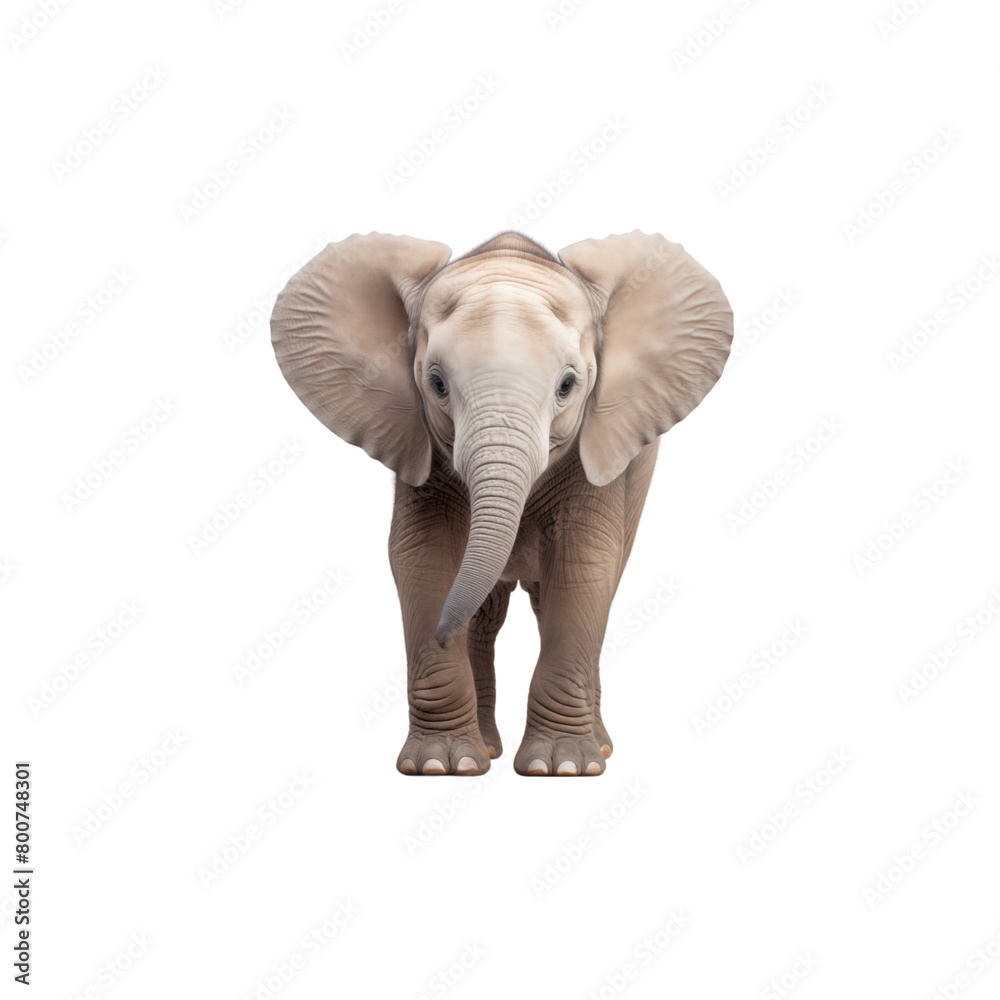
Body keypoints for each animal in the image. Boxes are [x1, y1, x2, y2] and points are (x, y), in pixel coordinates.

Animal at [271, 230, 732, 776]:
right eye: (437, 384)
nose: (440, 635)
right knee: (486, 617)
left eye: (568, 385)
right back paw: (487, 749)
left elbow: (583, 567)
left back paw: (598, 748)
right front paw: (442, 766)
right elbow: (423, 560)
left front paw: (562, 768)